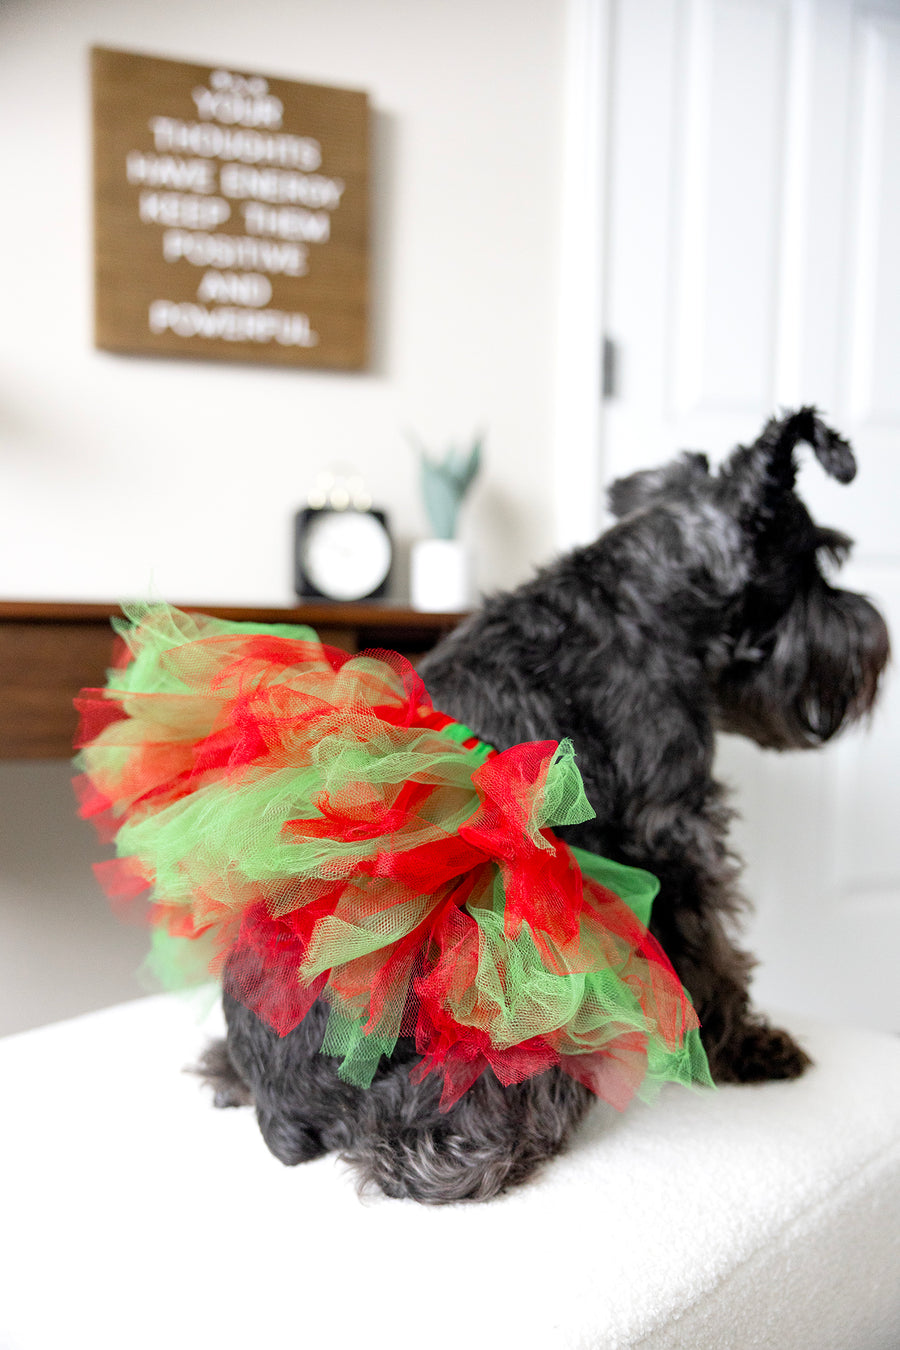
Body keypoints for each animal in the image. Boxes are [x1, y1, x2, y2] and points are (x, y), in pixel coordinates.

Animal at [202, 407, 885, 1204]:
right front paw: (746, 1047)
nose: (873, 643)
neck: (646, 595)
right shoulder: (674, 835)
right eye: (823, 561)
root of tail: (282, 1113)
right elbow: (710, 951)